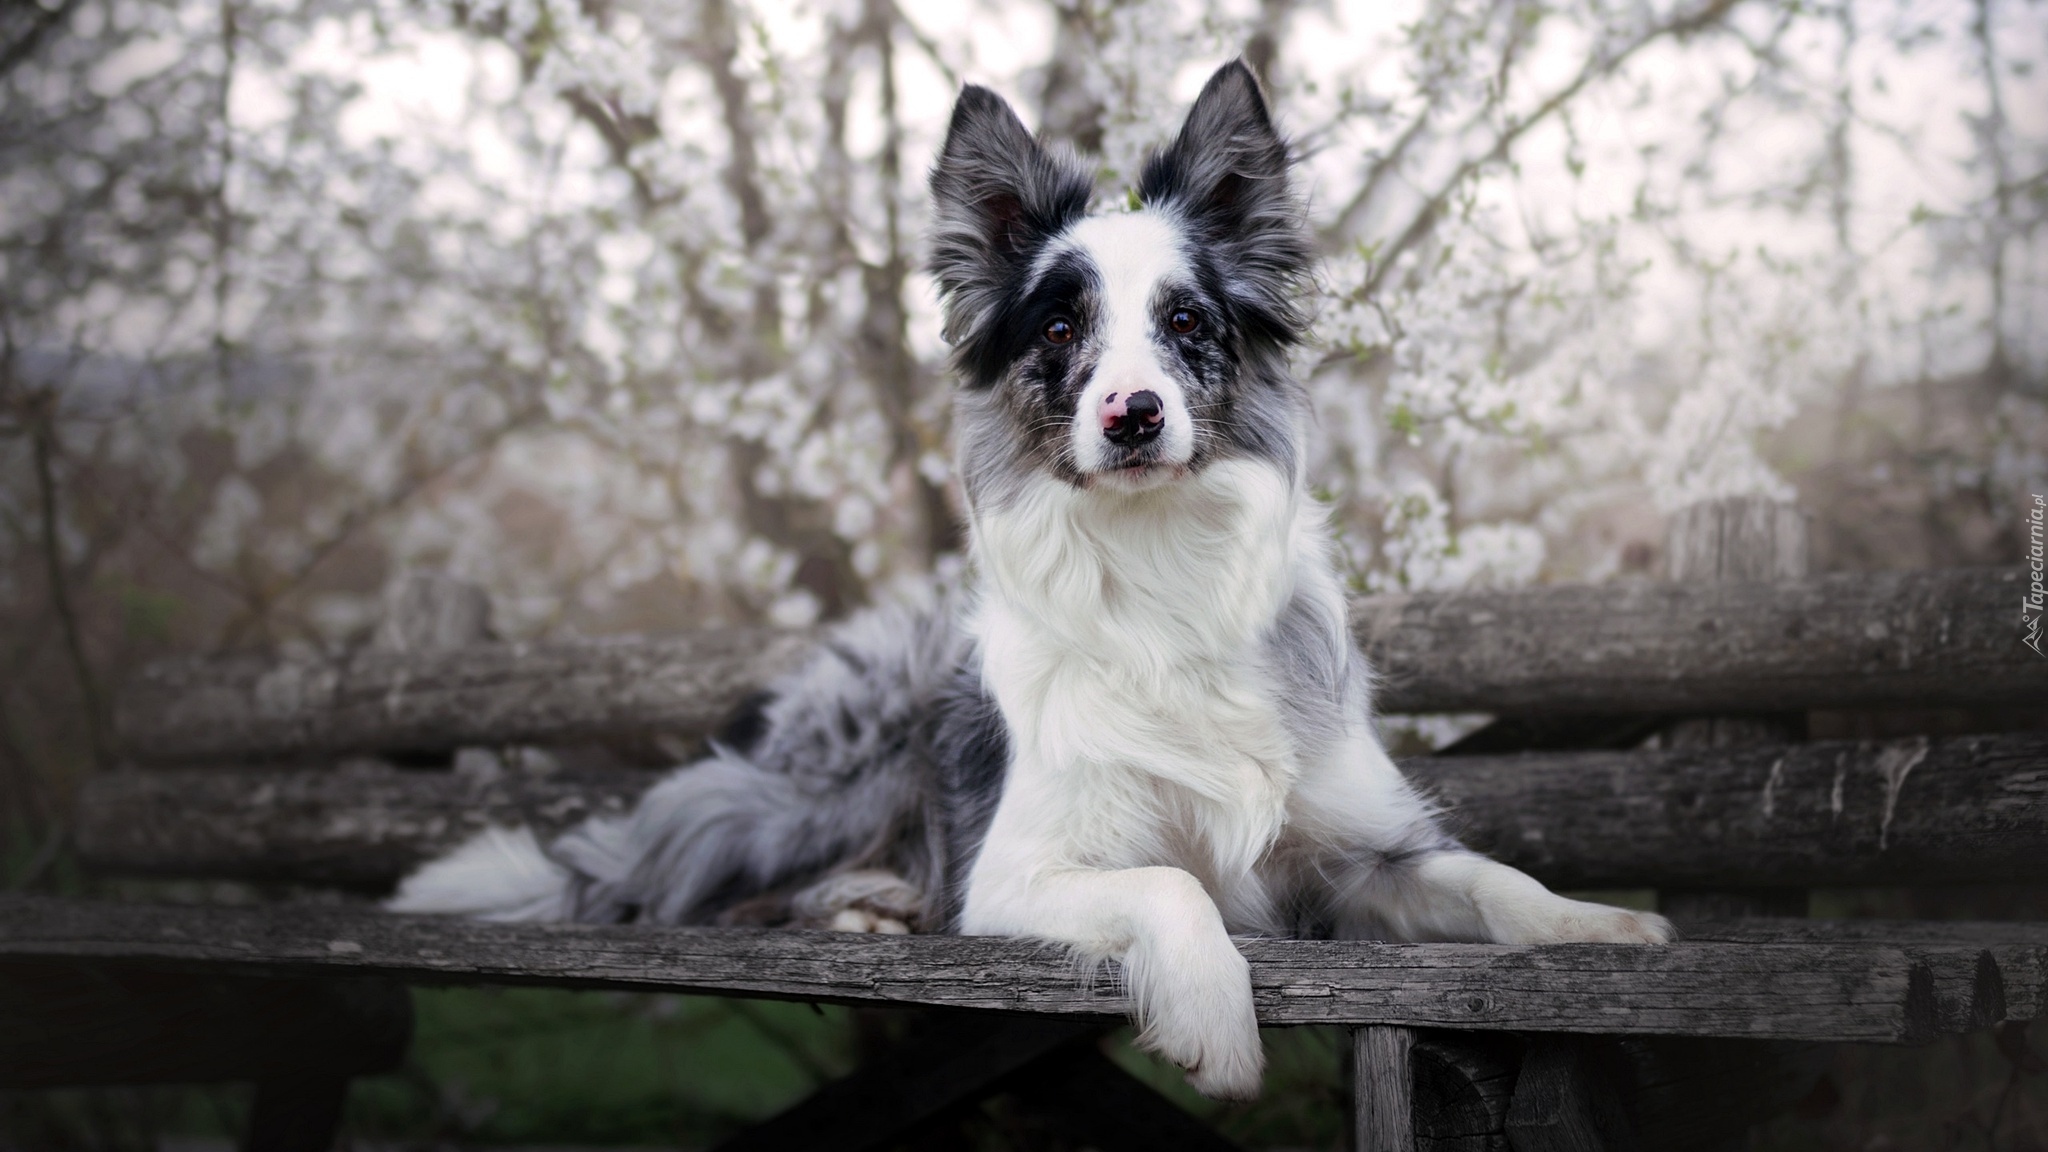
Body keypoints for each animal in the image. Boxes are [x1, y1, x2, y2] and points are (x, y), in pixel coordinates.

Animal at [391, 60, 1671, 1090]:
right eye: (1058, 330)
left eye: (1186, 323)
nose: (1133, 413)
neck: (1156, 557)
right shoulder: (1013, 875)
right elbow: (1173, 887)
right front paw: (1214, 1024)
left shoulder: (1363, 852)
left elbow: (1489, 878)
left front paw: (1597, 928)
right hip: (834, 769)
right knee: (690, 883)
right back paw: (861, 908)